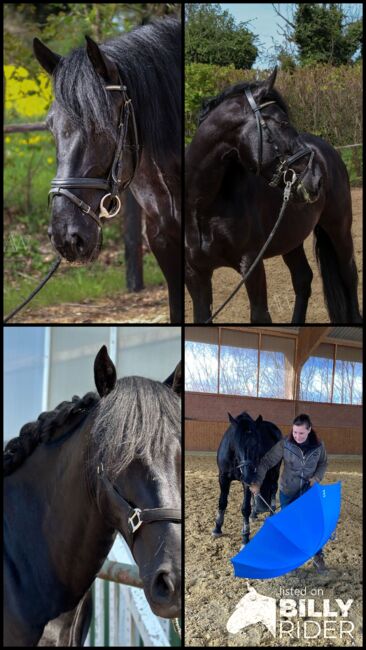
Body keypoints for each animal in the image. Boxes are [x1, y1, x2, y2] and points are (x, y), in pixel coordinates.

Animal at [187, 67, 362, 322]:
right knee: (303, 280)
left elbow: (260, 316)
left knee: (348, 274)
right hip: (291, 237)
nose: (315, 179)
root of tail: (327, 151)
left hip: (339, 227)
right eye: (283, 122)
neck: (203, 206)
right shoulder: (196, 275)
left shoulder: (251, 265)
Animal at [213, 412, 282, 544]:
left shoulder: (247, 481)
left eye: (257, 443)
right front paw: (217, 528)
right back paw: (254, 514)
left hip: (274, 471)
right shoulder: (223, 478)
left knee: (273, 488)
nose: (247, 475)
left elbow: (245, 508)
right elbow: (222, 502)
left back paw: (271, 512)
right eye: (235, 443)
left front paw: (245, 536)